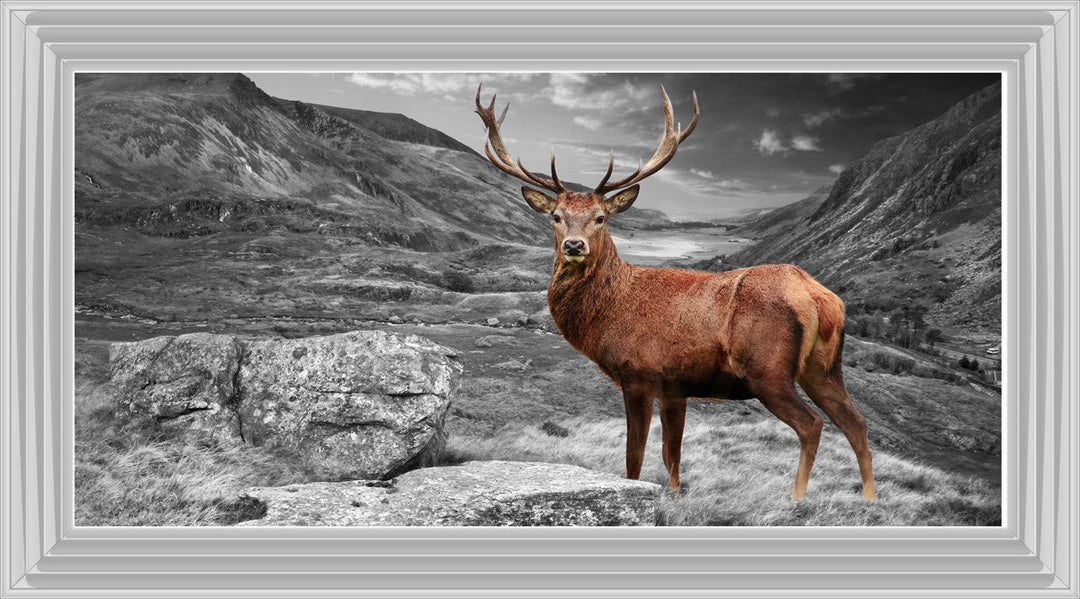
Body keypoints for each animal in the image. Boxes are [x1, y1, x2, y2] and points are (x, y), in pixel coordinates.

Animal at [473, 84, 876, 502]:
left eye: (601, 217)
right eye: (556, 216)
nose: (573, 245)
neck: (609, 313)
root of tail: (821, 298)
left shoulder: (639, 375)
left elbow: (634, 458)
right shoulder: (675, 387)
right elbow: (672, 456)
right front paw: (676, 496)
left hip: (768, 369)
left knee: (812, 424)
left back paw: (796, 499)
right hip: (824, 367)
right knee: (856, 423)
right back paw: (869, 498)